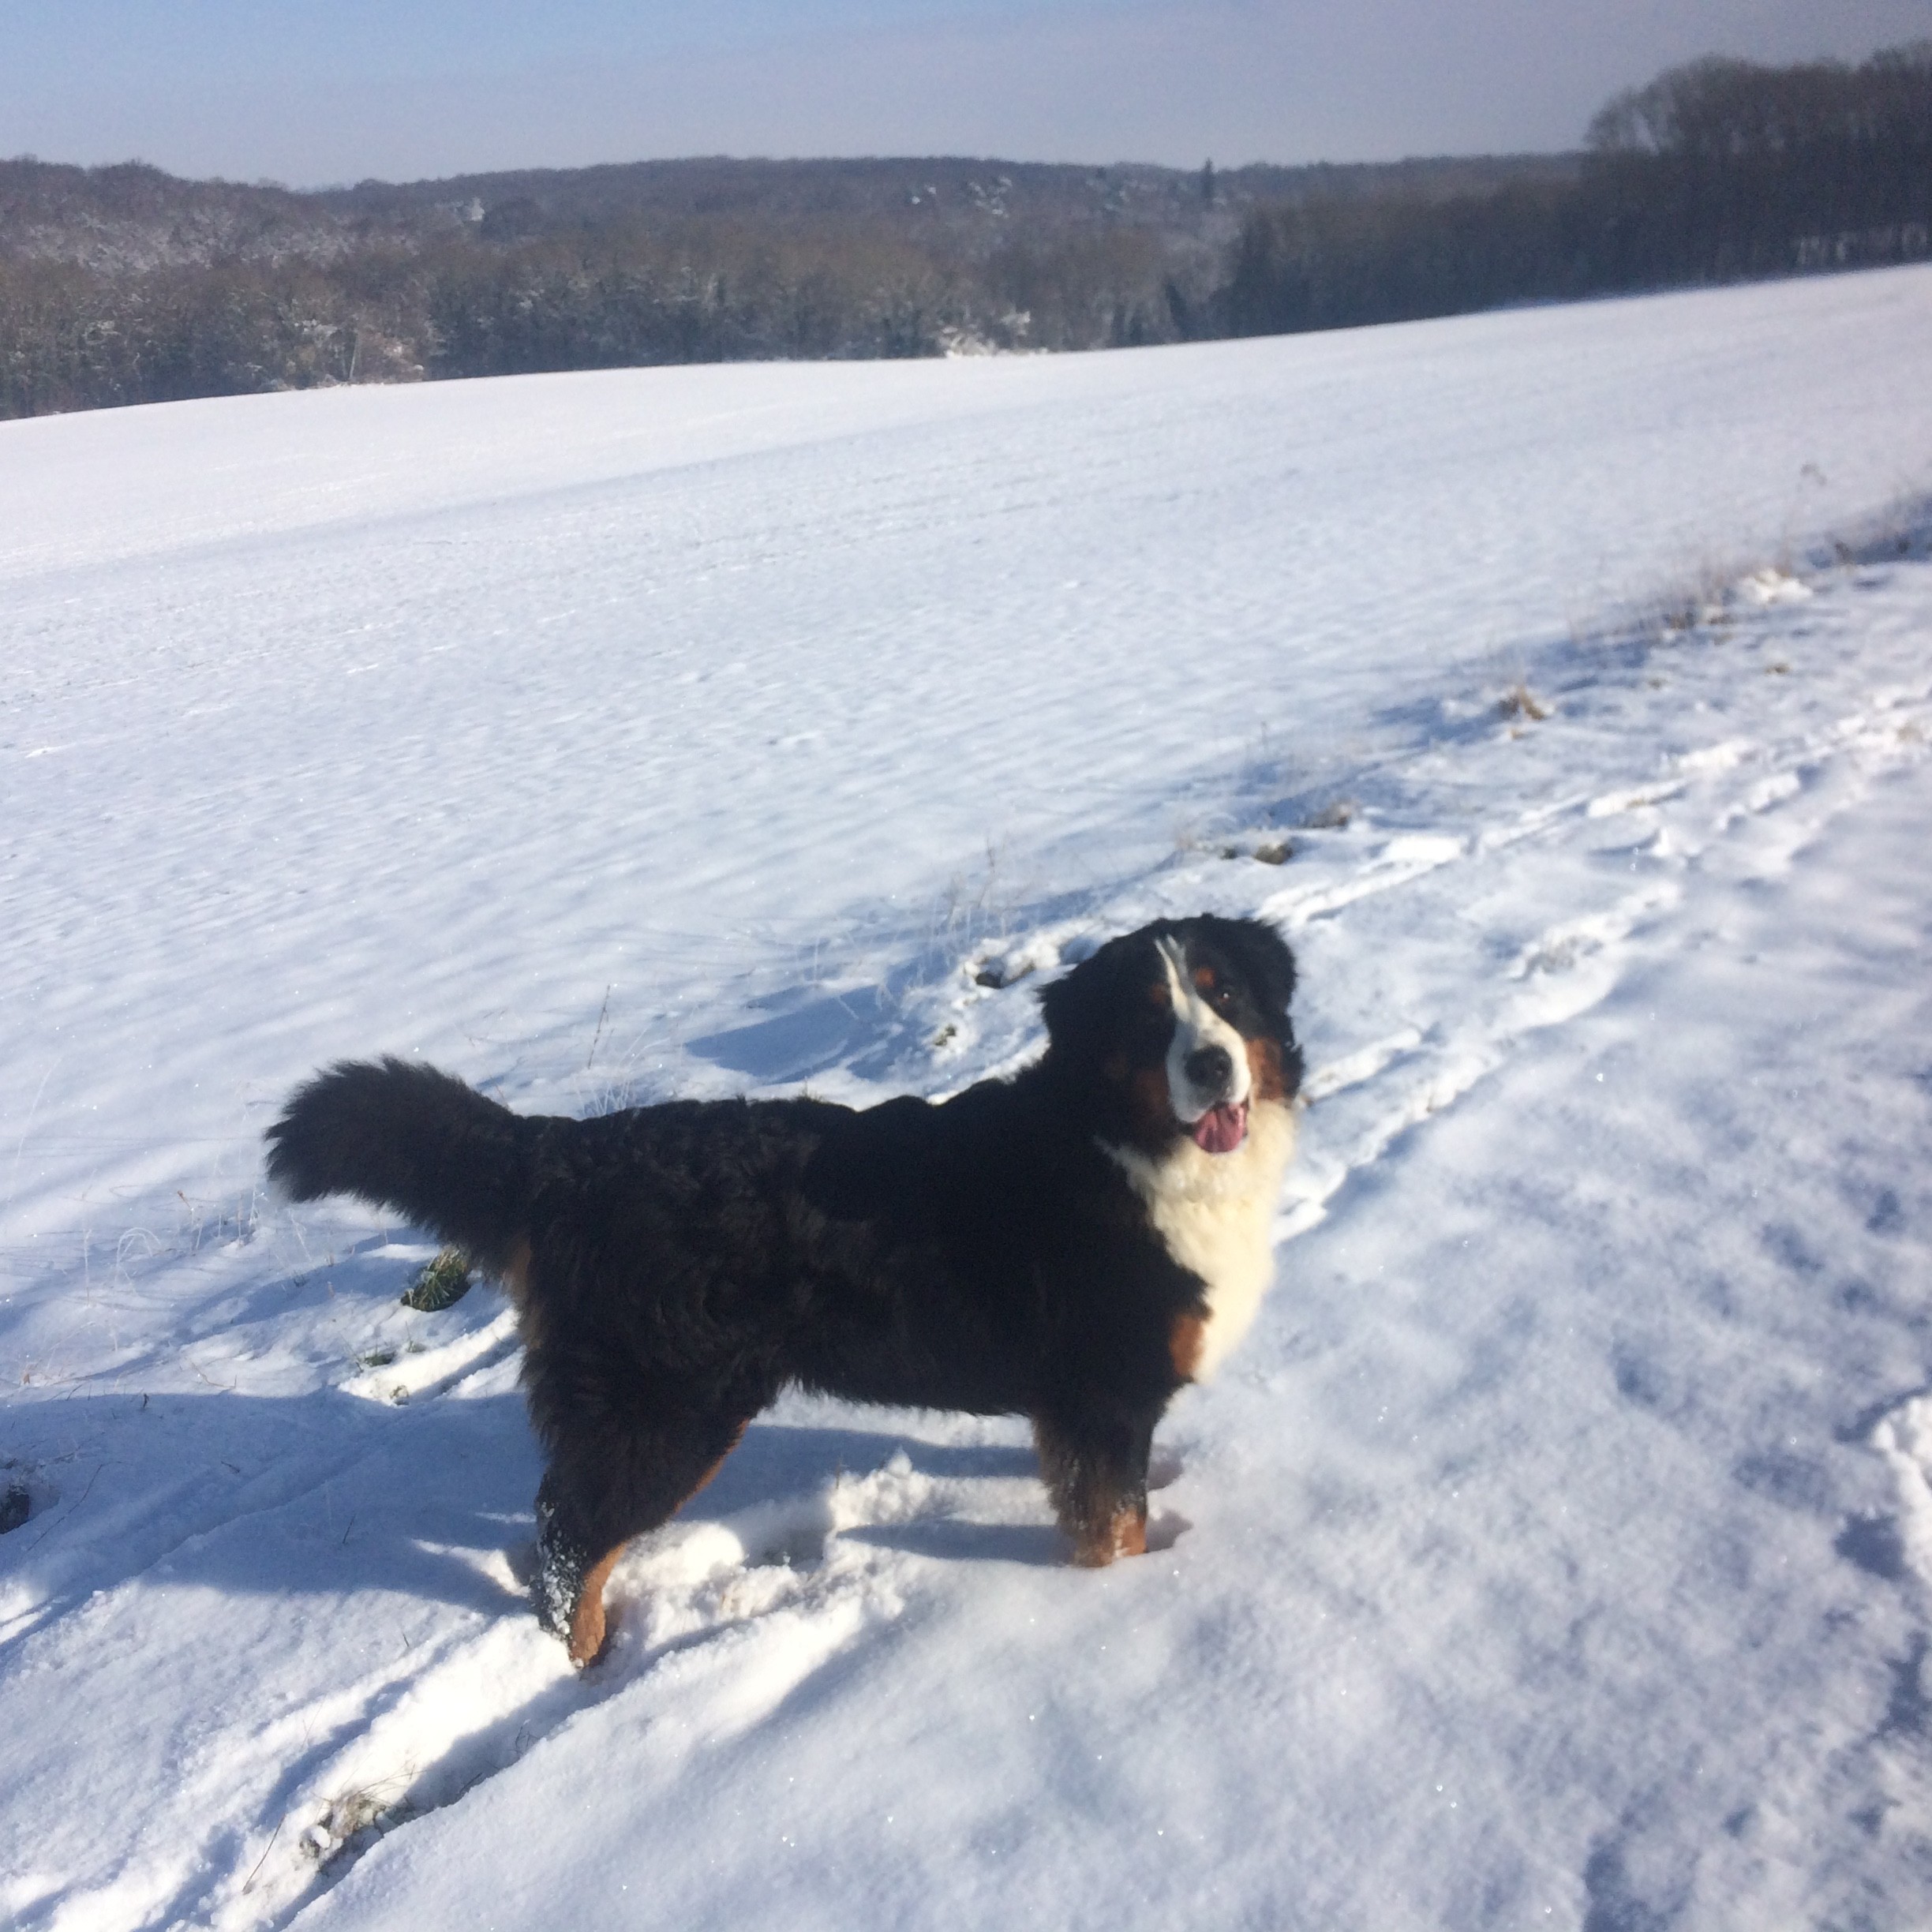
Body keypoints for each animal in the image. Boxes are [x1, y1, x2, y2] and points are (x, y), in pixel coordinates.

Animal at [264, 915, 1305, 1661]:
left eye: (1225, 995)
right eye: (1149, 1018)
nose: (1211, 1062)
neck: (1121, 1148)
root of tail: (570, 1153)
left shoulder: (1088, 1410)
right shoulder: (1103, 1398)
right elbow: (1115, 1525)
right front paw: (1123, 1598)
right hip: (667, 1413)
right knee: (569, 1540)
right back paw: (588, 1662)